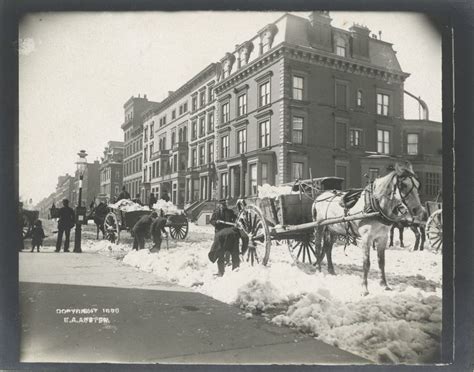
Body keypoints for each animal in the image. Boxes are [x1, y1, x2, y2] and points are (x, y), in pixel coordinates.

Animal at [312, 161, 424, 294]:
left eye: (417, 185)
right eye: (403, 185)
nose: (418, 210)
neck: (376, 207)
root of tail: (320, 197)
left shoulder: (383, 237)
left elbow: (381, 262)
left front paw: (384, 284)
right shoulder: (366, 238)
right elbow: (366, 263)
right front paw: (364, 288)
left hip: (333, 229)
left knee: (328, 247)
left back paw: (331, 270)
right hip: (319, 227)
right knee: (318, 246)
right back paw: (318, 269)